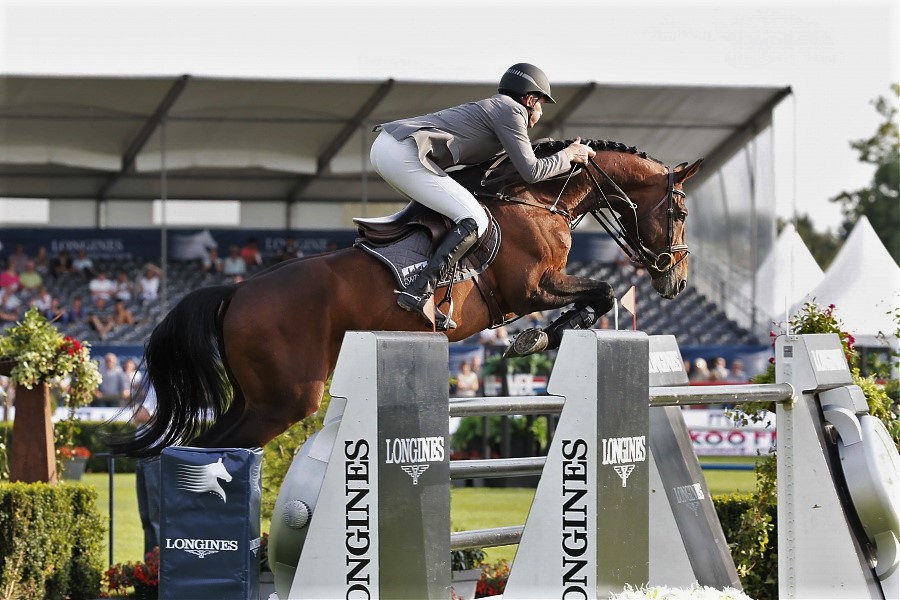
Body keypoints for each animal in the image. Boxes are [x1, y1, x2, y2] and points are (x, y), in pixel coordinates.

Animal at [110, 138, 704, 454]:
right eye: (679, 211)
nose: (674, 281)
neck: (540, 200)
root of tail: (235, 293)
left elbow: (598, 296)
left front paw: (542, 336)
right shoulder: (531, 288)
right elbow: (601, 292)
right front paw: (535, 338)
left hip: (259, 395)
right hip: (286, 397)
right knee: (212, 450)